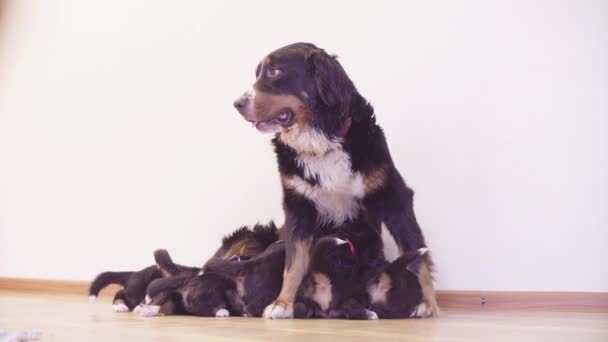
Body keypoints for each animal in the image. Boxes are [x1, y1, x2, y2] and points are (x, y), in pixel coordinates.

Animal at [232, 42, 436, 318]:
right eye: (257, 73)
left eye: (274, 71)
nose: (237, 103)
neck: (322, 143)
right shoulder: (297, 206)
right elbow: (293, 264)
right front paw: (282, 303)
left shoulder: (394, 197)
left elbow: (417, 253)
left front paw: (429, 303)